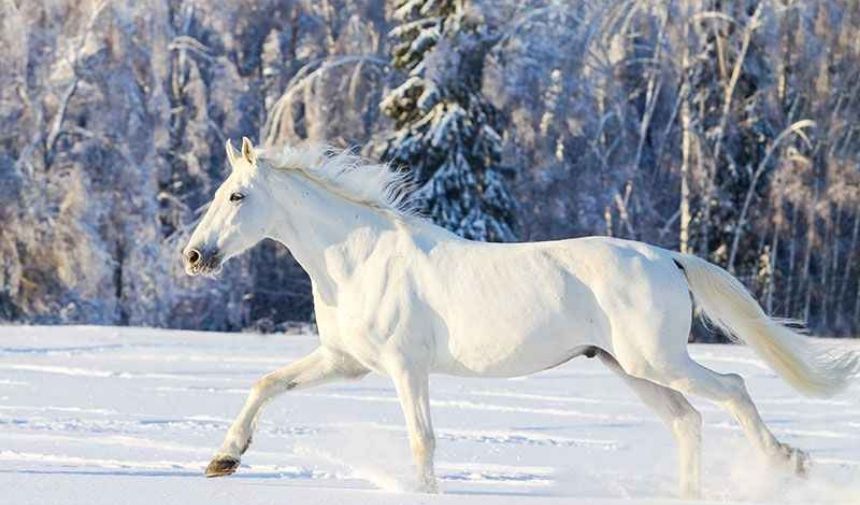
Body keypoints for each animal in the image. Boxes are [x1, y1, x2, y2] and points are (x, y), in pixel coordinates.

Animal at [183, 138, 860, 496]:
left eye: (236, 195)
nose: (194, 256)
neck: (357, 259)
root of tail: (668, 258)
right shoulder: (345, 361)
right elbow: (265, 384)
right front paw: (222, 460)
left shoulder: (405, 368)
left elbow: (422, 438)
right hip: (630, 368)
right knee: (688, 419)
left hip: (657, 361)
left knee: (734, 389)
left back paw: (788, 462)